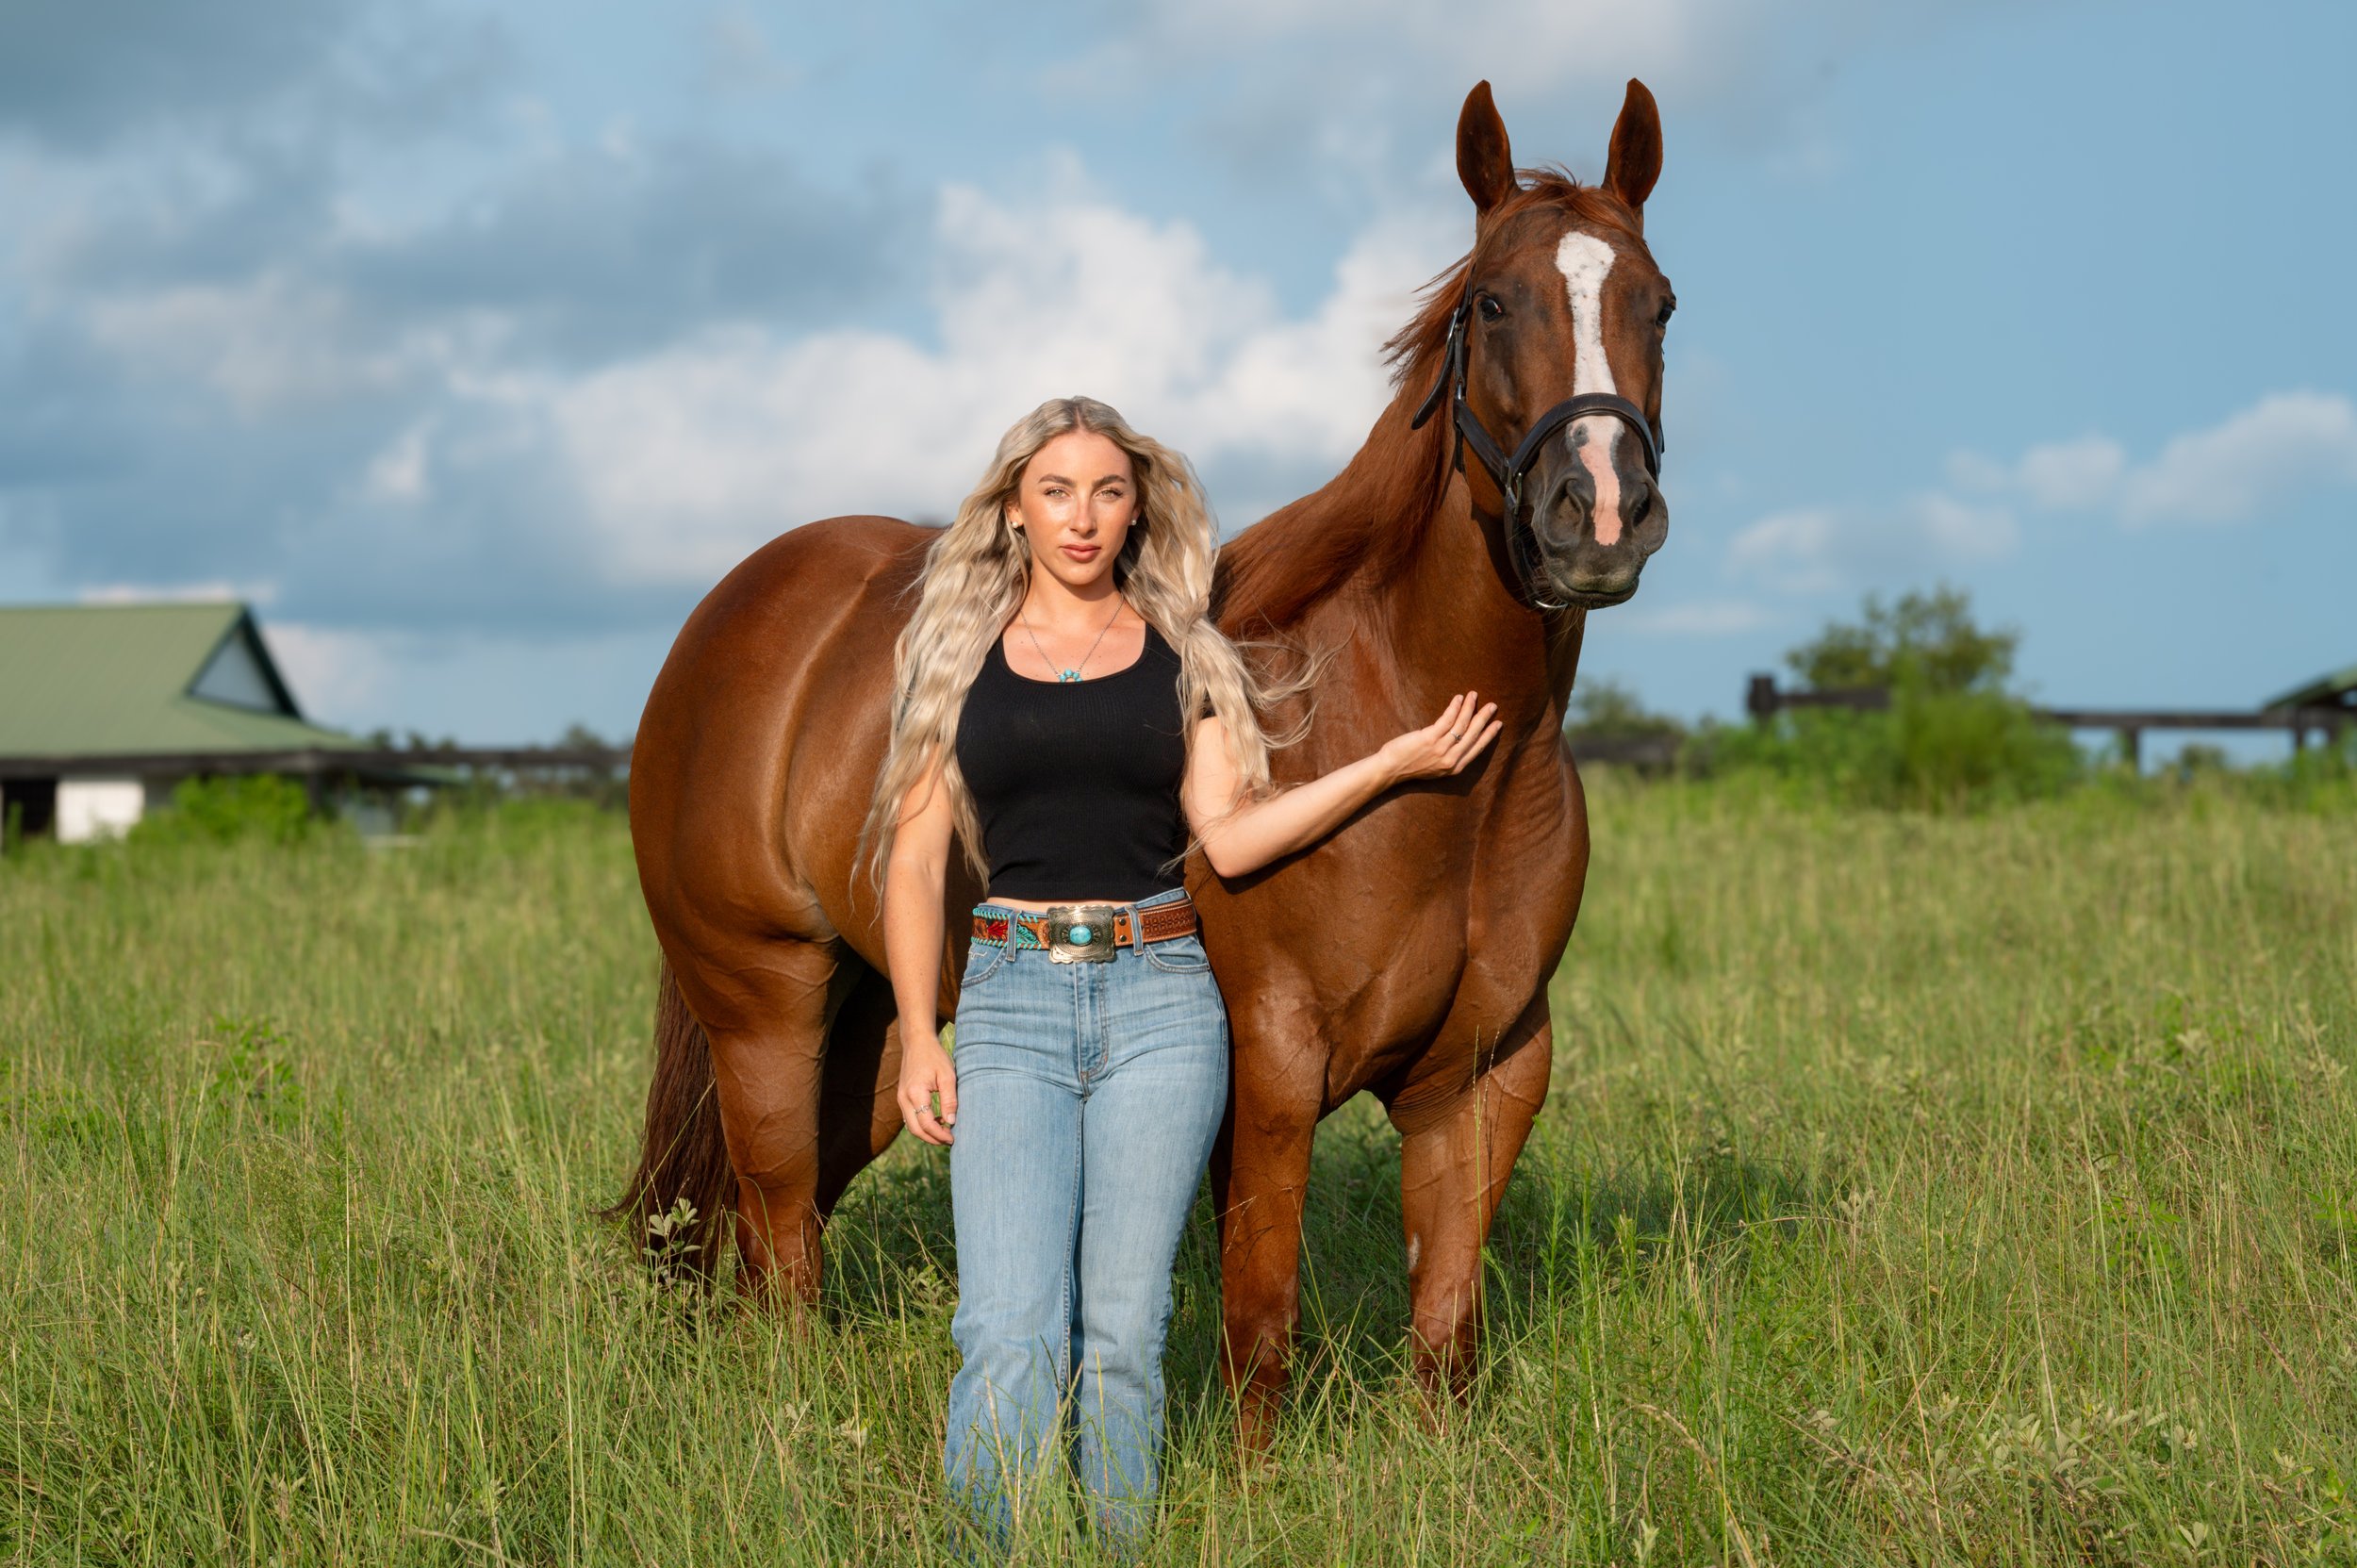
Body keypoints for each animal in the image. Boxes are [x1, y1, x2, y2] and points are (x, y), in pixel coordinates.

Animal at [614, 77, 1673, 1450]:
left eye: (1658, 301)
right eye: (1494, 301)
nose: (1597, 513)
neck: (1440, 777)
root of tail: (729, 619)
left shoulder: (1486, 1074)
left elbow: (1445, 1330)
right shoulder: (1270, 1063)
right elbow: (1260, 1317)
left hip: (884, 1027)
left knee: (774, 1222)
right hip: (762, 1000)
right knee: (780, 1211)